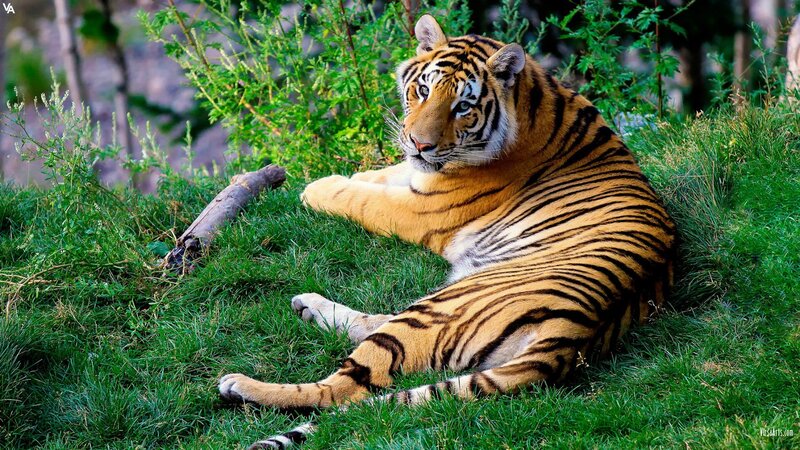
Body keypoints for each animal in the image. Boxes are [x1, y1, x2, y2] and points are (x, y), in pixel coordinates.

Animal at [218, 14, 676, 449]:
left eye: (462, 107)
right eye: (422, 90)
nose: (420, 144)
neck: (533, 100)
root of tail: (574, 335)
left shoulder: (421, 208)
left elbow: (362, 199)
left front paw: (318, 187)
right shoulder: (418, 176)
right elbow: (383, 175)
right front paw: (355, 173)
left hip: (439, 308)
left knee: (344, 389)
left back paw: (240, 384)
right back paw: (308, 306)